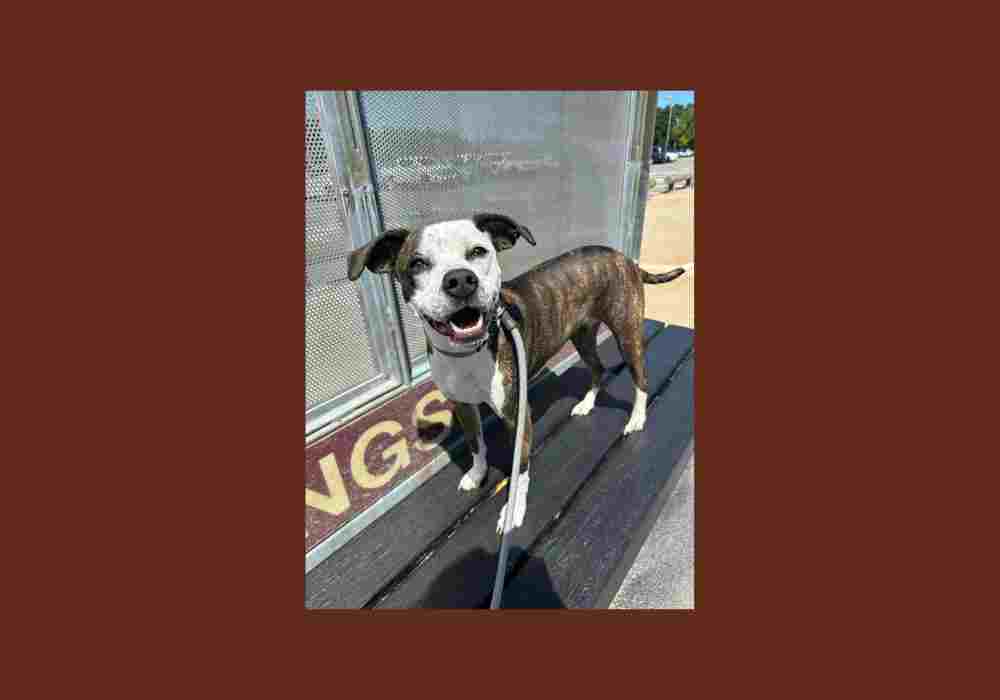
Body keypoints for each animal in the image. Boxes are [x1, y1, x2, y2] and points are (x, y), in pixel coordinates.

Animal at [347, 213, 687, 534]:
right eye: (417, 264)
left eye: (478, 251)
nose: (460, 280)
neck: (469, 353)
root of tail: (623, 257)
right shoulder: (463, 406)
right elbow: (476, 446)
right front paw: (477, 475)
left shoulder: (517, 416)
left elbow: (519, 468)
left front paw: (513, 511)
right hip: (582, 335)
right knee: (598, 368)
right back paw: (587, 404)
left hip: (627, 334)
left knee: (641, 378)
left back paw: (637, 419)